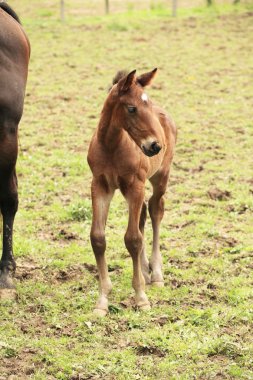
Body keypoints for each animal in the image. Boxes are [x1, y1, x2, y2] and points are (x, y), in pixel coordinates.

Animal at [87, 69, 176, 318]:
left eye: (148, 104)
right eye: (131, 108)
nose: (155, 146)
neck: (111, 146)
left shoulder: (135, 185)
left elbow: (133, 239)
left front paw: (141, 298)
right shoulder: (100, 186)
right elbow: (98, 238)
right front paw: (102, 301)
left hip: (159, 178)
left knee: (155, 210)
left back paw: (156, 275)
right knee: (144, 214)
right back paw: (146, 271)